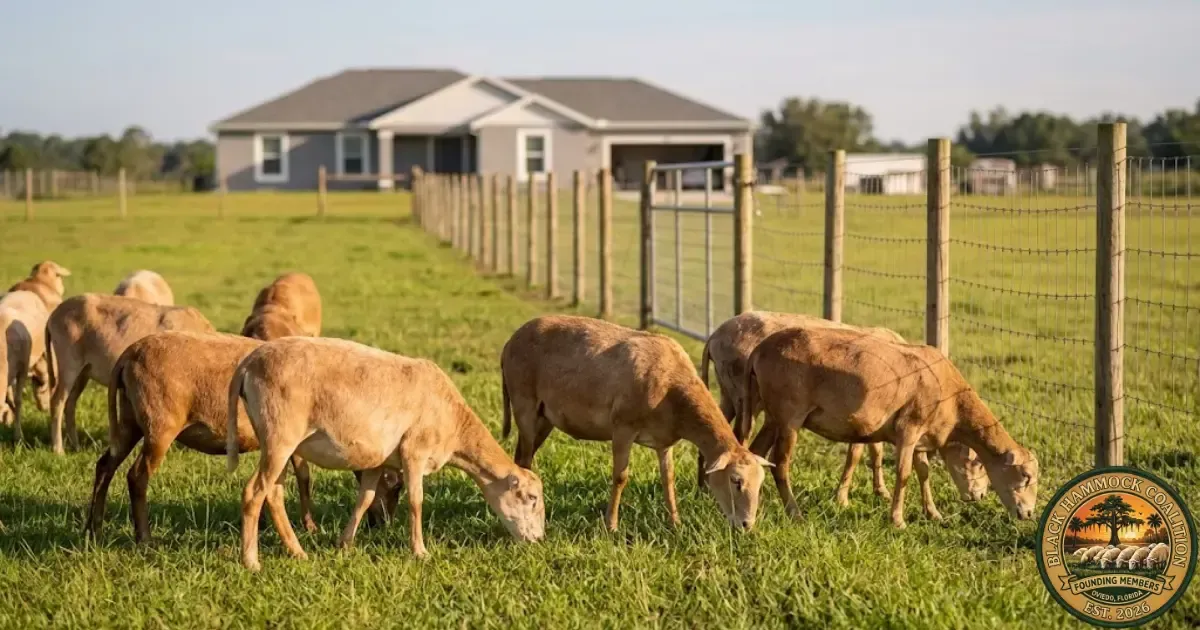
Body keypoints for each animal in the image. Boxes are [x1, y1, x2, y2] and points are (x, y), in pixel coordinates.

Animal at [44, 294, 215, 454]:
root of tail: (53, 315)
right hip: (69, 364)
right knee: (57, 401)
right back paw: (58, 449)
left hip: (83, 372)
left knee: (70, 403)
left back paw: (76, 446)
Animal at [227, 336, 545, 571]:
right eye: (531, 498)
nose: (539, 540)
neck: (454, 425)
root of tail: (248, 363)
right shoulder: (414, 452)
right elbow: (416, 502)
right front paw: (419, 552)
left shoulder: (377, 462)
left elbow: (365, 500)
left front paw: (345, 544)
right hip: (280, 434)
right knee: (254, 492)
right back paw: (251, 562)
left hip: (281, 442)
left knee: (274, 494)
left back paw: (297, 552)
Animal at [500, 314, 771, 531]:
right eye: (736, 481)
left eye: (760, 484)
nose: (747, 525)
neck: (673, 389)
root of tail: (510, 342)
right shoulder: (623, 427)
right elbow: (621, 476)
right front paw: (611, 525)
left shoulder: (665, 440)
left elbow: (668, 478)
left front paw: (675, 523)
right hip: (524, 404)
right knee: (524, 459)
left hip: (545, 416)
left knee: (522, 457)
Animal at [700, 310, 988, 511]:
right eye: (978, 464)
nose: (981, 496)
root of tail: (714, 337)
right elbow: (856, 455)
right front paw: (844, 497)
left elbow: (875, 451)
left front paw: (879, 490)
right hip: (746, 396)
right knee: (738, 438)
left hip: (729, 394)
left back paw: (703, 487)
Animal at [743, 326, 1040, 528]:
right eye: (1026, 476)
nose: (1027, 514)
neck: (953, 403)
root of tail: (759, 351)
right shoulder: (909, 429)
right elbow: (904, 474)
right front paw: (897, 520)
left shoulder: (921, 437)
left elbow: (924, 473)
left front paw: (933, 513)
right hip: (789, 416)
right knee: (780, 464)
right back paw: (795, 513)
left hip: (773, 417)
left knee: (756, 453)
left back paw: (756, 505)